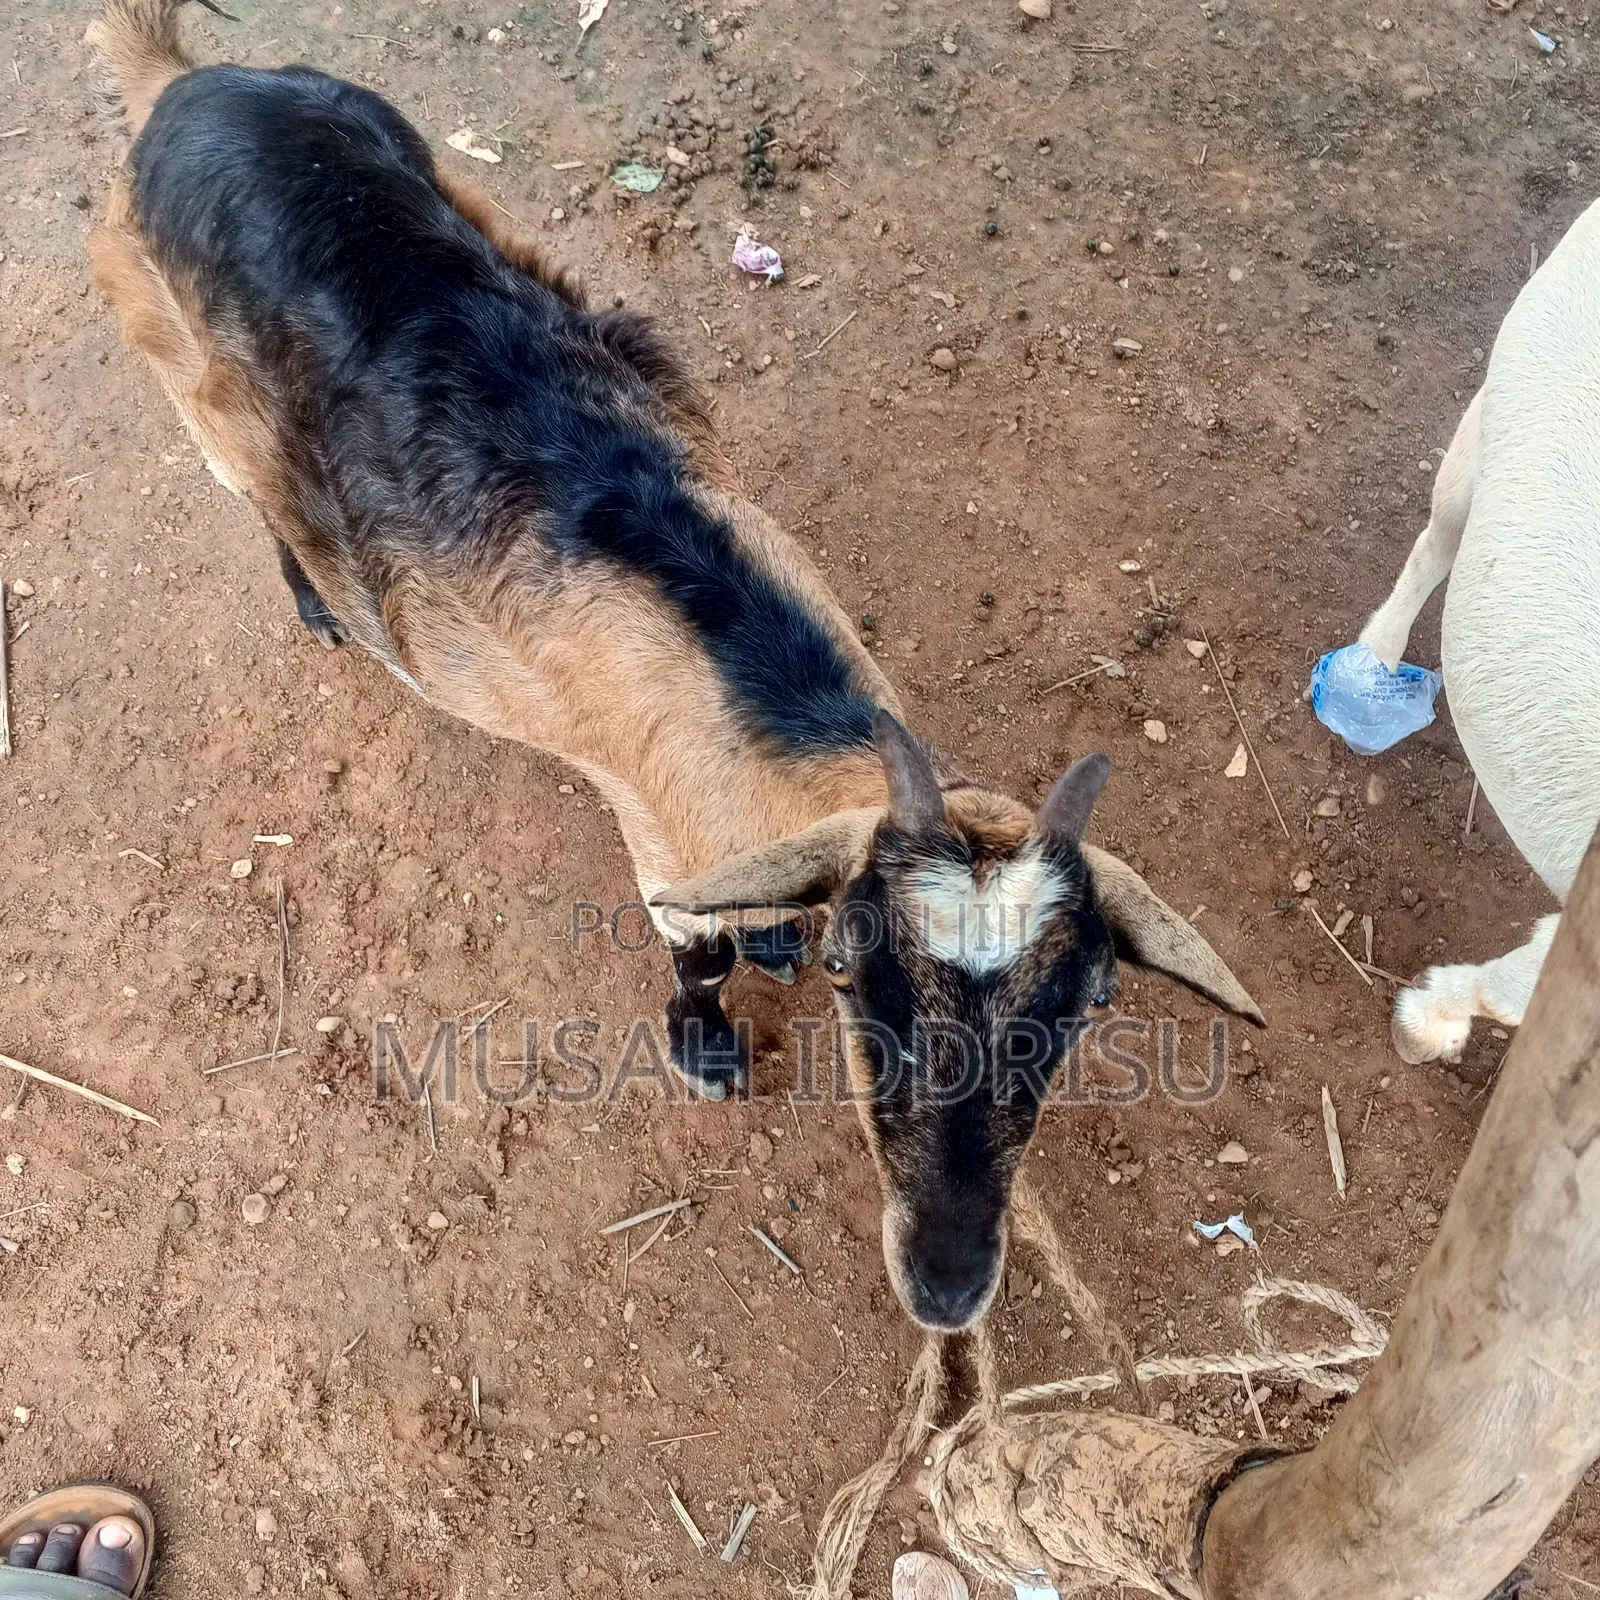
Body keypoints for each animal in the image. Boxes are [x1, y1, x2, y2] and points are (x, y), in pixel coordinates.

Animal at [86, 0, 1263, 1331]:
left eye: (1090, 1005)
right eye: (856, 979)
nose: (949, 1283)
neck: (760, 689)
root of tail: (181, 87)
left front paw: (770, 938)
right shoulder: (652, 842)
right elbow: (693, 955)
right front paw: (706, 1041)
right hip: (187, 389)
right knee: (260, 506)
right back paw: (311, 603)